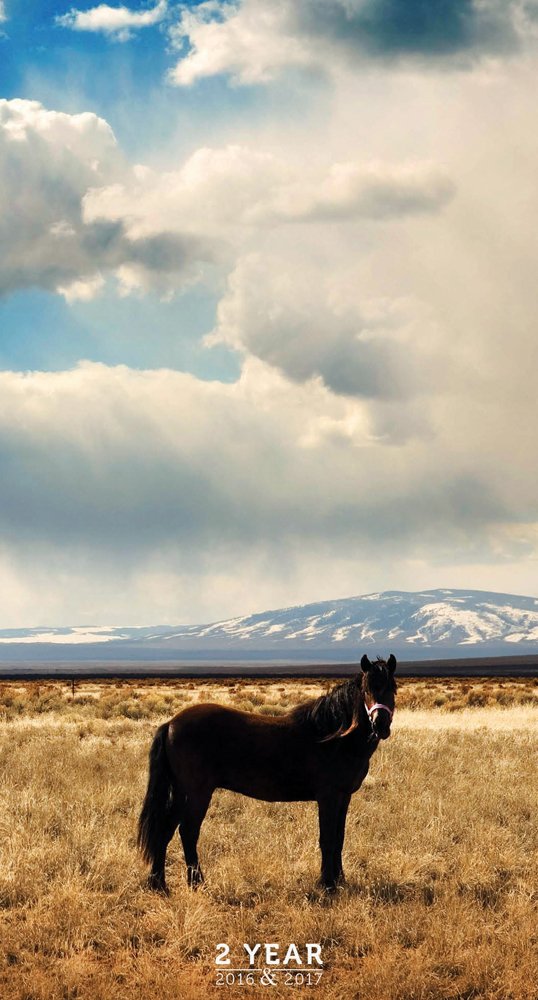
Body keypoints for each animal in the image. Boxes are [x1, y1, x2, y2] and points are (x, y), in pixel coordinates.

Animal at [137, 653, 397, 893]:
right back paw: (196, 883)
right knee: (188, 831)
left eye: (392, 688)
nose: (380, 725)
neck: (334, 737)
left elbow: (339, 838)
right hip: (196, 793)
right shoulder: (328, 797)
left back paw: (159, 884)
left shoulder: (344, 797)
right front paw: (327, 884)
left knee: (165, 830)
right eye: (367, 689)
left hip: (181, 793)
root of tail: (170, 723)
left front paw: (340, 880)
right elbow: (327, 839)